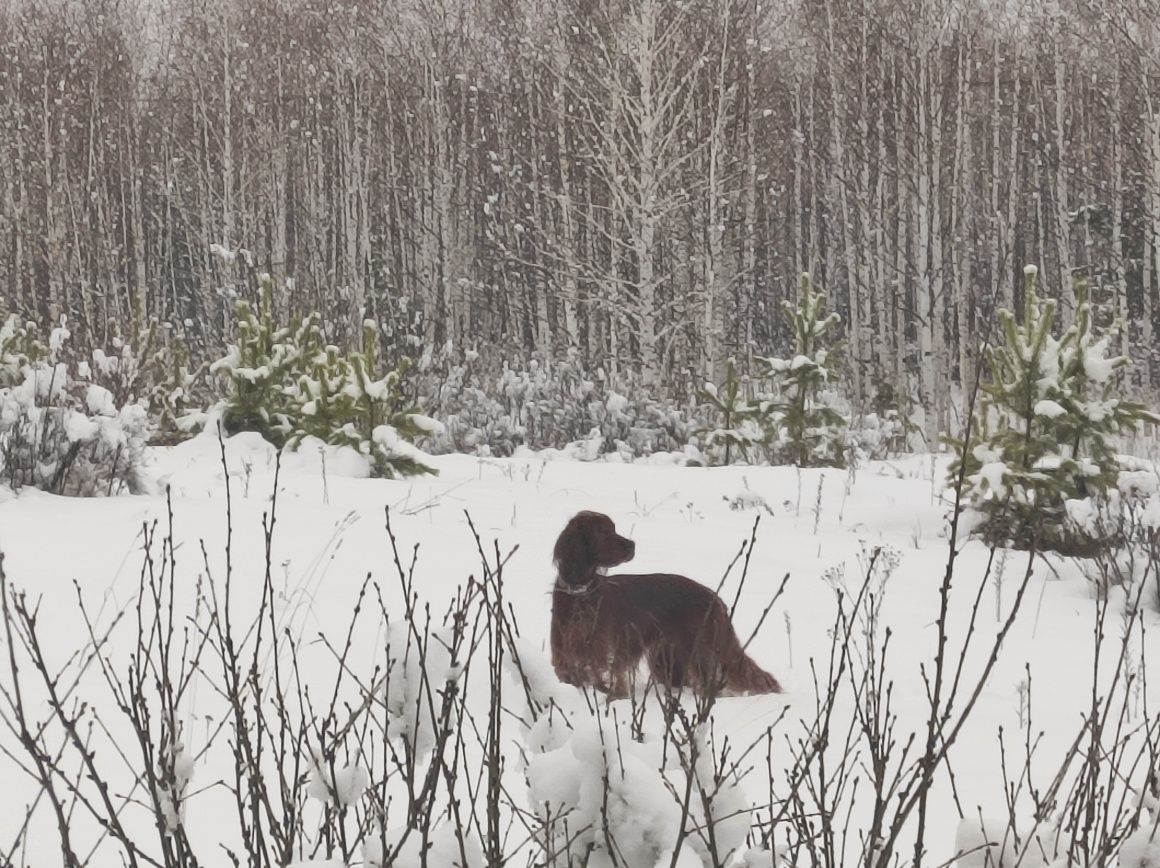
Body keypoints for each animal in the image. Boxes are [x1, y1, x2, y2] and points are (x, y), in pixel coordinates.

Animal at [547, 512, 784, 696]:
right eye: (601, 531)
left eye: (612, 528)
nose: (632, 545)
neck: (579, 593)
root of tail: (714, 597)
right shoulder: (563, 658)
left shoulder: (602, 655)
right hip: (667, 658)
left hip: (697, 651)